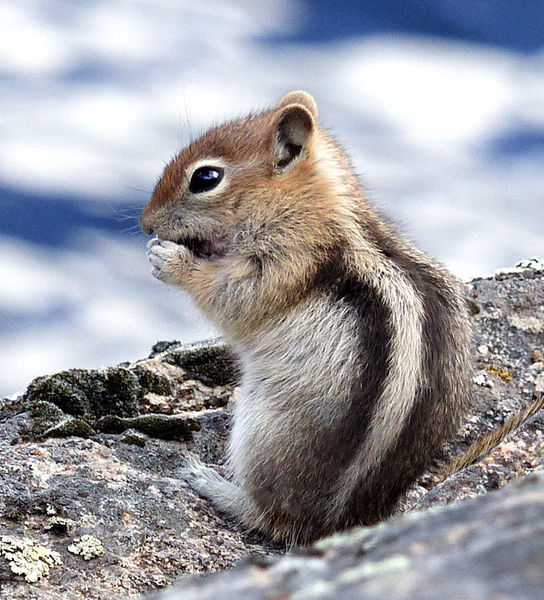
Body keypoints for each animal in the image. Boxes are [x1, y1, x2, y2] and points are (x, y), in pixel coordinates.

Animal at [140, 90, 472, 544]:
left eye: (206, 178)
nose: (145, 224)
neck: (310, 209)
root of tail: (337, 523)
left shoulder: (285, 263)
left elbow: (230, 297)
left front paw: (169, 260)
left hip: (261, 436)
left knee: (270, 518)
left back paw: (210, 482)